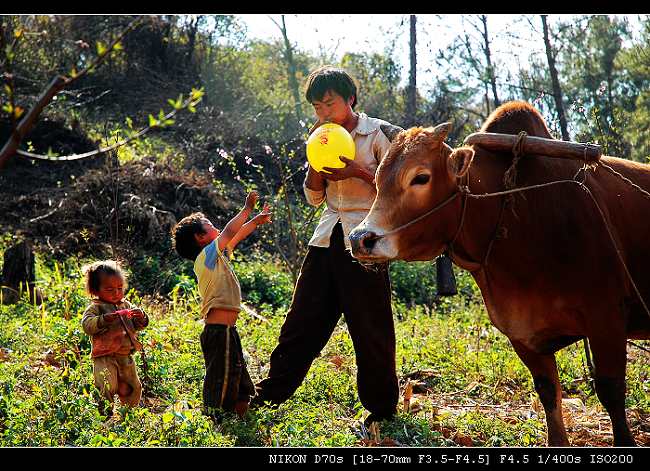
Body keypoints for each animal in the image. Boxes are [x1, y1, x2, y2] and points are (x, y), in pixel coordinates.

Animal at [350, 100, 648, 446]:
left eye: (420, 177)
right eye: (378, 178)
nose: (360, 239)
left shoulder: (607, 319)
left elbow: (611, 392)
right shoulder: (521, 333)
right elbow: (548, 392)